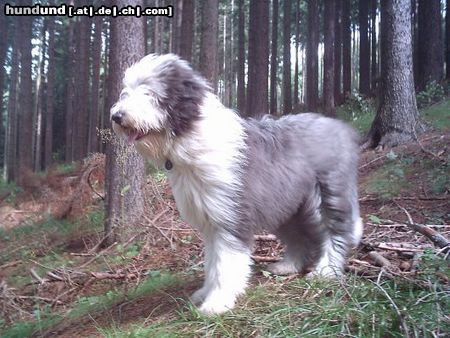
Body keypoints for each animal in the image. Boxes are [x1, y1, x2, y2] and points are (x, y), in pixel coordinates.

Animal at [110, 52, 364, 314]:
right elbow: (212, 263)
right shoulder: (211, 221)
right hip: (287, 204)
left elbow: (226, 263)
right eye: (126, 92)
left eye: (149, 92)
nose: (116, 116)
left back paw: (326, 269)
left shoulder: (230, 216)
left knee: (336, 231)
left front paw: (217, 302)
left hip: (328, 191)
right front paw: (205, 293)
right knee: (300, 236)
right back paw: (288, 266)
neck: (192, 138)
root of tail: (339, 126)